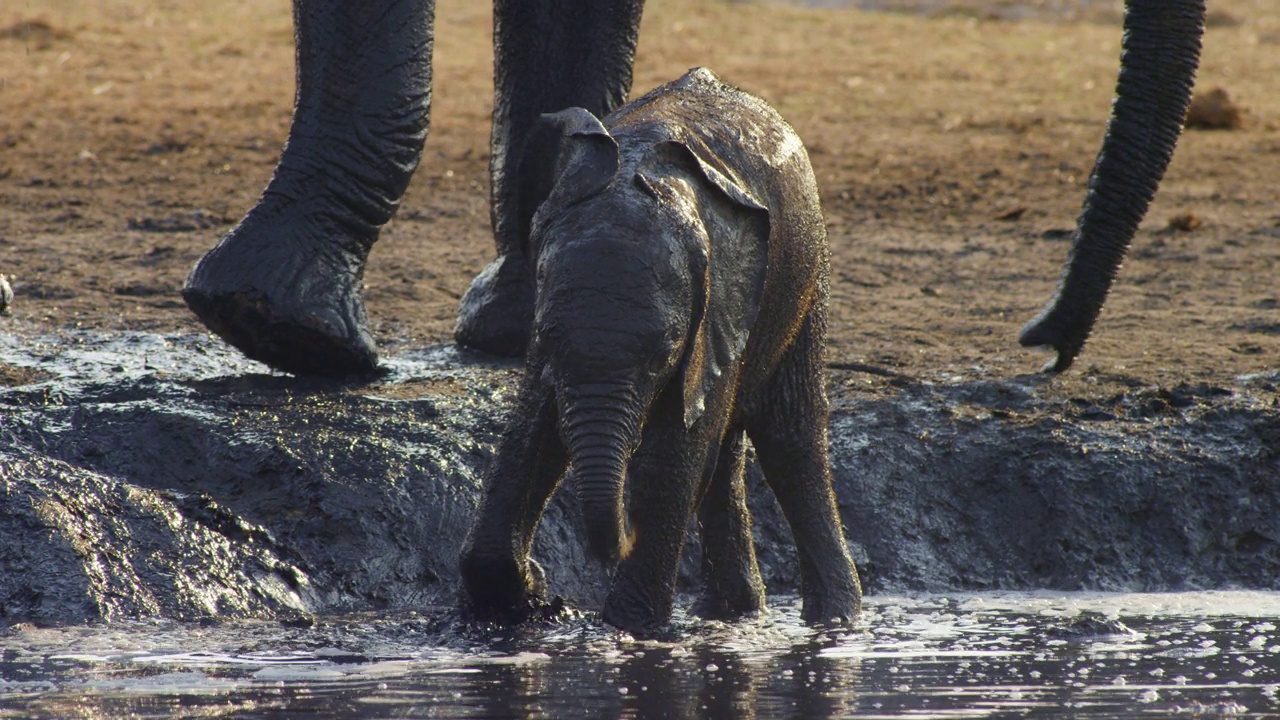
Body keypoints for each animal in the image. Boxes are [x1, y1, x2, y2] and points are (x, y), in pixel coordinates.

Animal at [458, 65, 860, 627]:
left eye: (664, 353)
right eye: (548, 334)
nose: (552, 584)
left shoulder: (720, 301)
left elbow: (670, 459)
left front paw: (629, 629)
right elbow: (532, 430)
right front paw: (522, 596)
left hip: (804, 274)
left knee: (790, 441)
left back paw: (835, 622)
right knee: (727, 450)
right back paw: (733, 614)